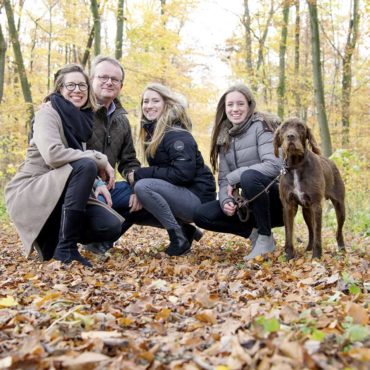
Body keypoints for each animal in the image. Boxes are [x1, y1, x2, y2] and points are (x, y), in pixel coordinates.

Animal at [274, 118, 346, 260]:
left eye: (300, 127)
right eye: (284, 127)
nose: (290, 136)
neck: (296, 165)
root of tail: (331, 162)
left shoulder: (316, 205)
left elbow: (318, 234)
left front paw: (316, 257)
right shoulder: (288, 205)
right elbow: (289, 234)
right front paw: (289, 256)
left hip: (340, 206)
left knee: (338, 231)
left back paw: (341, 248)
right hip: (306, 211)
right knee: (311, 231)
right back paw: (308, 248)